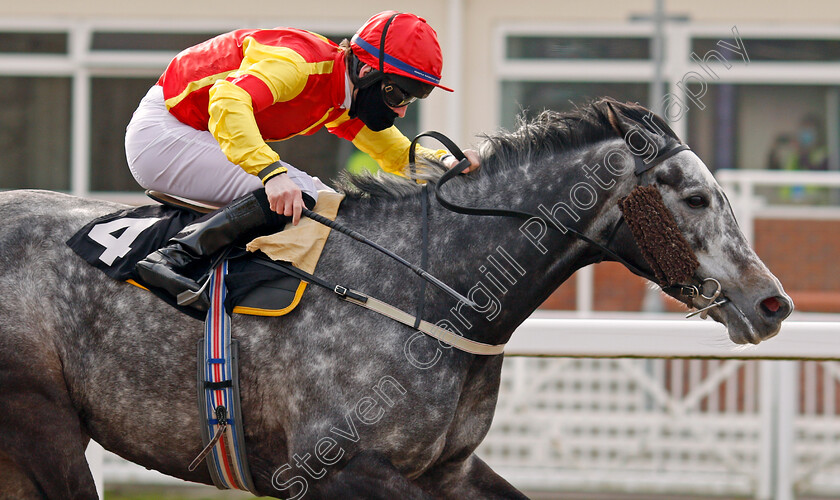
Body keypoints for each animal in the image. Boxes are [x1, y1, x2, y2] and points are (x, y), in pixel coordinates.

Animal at [0, 98, 792, 500]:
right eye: (696, 197)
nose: (772, 304)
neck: (427, 289)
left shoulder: (447, 470)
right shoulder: (332, 467)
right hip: (42, 425)